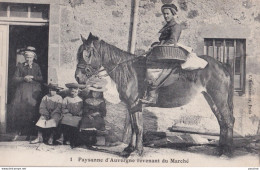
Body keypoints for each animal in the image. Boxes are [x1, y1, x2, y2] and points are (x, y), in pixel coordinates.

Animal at [74, 32, 235, 157]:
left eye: (87, 54)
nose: (78, 77)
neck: (130, 71)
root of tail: (222, 65)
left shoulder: (135, 105)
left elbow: (138, 127)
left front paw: (137, 151)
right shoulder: (132, 106)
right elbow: (133, 127)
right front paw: (129, 149)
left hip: (219, 98)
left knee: (228, 121)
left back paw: (227, 151)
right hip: (211, 99)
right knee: (222, 122)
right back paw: (220, 149)